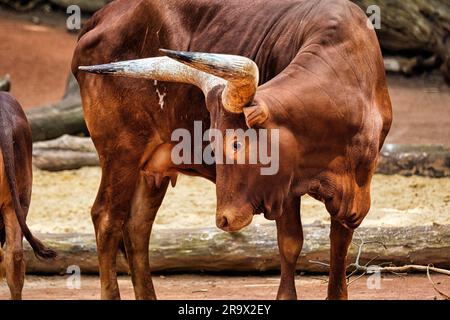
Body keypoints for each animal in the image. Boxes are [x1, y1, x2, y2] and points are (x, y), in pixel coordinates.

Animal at [73, 0, 390, 300]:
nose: (223, 219)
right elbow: (290, 243)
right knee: (107, 218)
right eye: (212, 145)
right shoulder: (284, 190)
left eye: (236, 143)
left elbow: (339, 247)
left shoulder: (356, 194)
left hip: (152, 167)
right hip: (121, 152)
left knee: (137, 227)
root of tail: (100, 16)